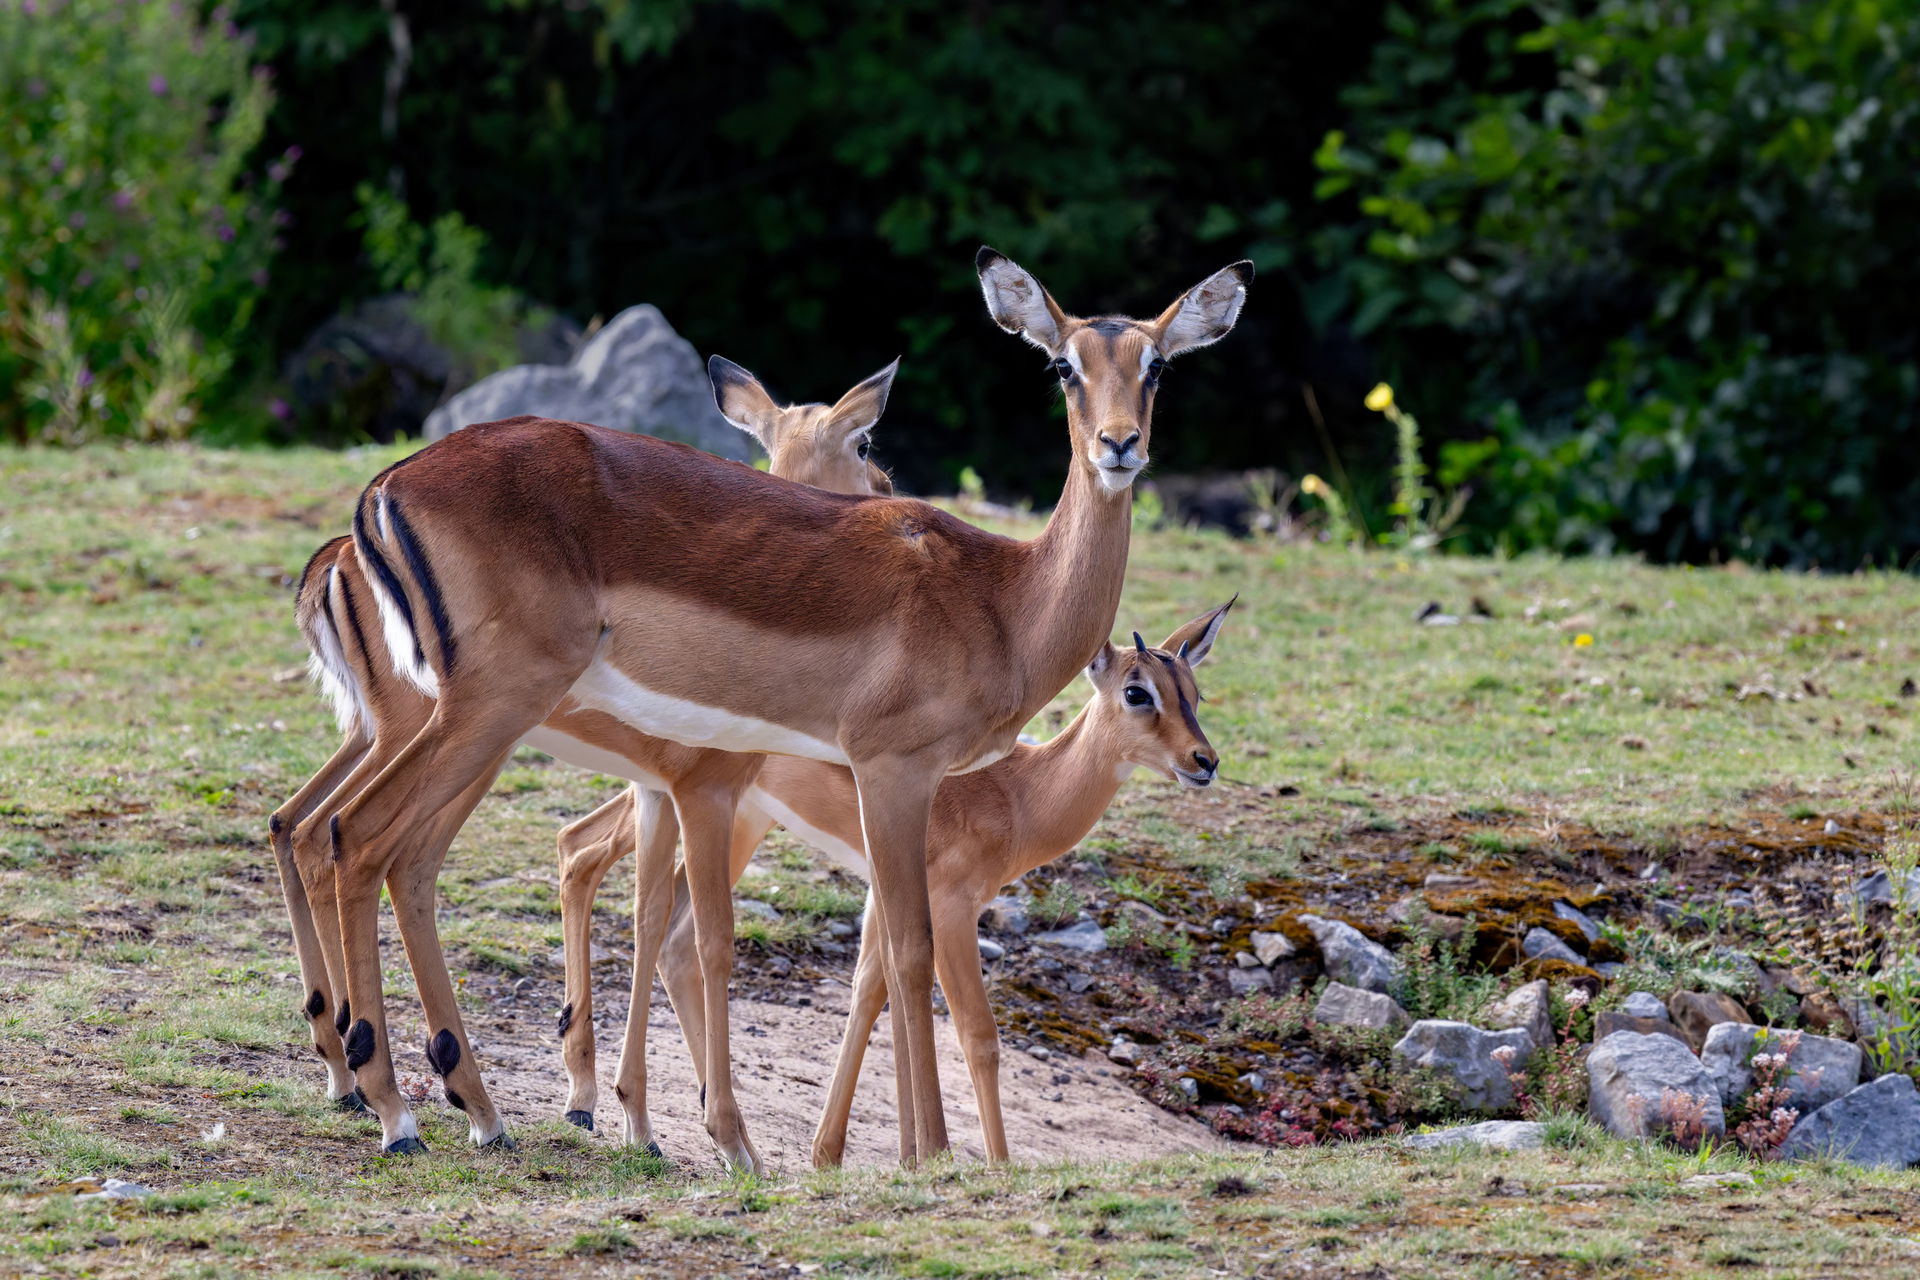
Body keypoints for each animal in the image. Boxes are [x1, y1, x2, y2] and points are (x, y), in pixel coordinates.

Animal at [266, 359, 898, 1161]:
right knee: (356, 836)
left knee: (319, 833)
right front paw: (690, 1134)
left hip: (409, 740)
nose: (884, 487)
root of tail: (371, 510)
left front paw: (630, 1117)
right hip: (462, 731)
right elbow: (687, 931)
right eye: (864, 438)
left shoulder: (657, 792)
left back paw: (405, 1088)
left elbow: (647, 915)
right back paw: (398, 1109)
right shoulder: (699, 791)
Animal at [556, 600, 1233, 1164]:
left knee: (621, 886)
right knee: (607, 872)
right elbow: (977, 1034)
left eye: (1194, 693)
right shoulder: (952, 906)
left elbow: (873, 989)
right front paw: (989, 1166)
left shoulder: (883, 889)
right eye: (1136, 692)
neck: (1017, 795)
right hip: (702, 806)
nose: (1204, 761)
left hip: (726, 814)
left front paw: (859, 1155)